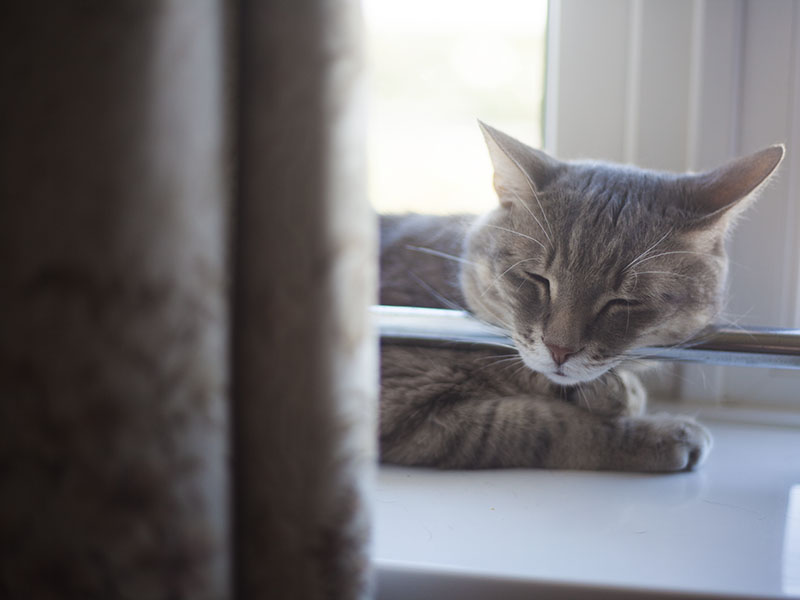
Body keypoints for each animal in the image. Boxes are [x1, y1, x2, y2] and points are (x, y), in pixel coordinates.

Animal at [378, 120, 784, 468]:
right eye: (537, 279)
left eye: (624, 301)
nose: (560, 349)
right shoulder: (399, 401)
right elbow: (543, 425)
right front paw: (654, 430)